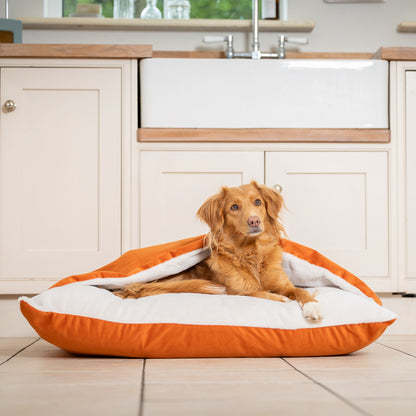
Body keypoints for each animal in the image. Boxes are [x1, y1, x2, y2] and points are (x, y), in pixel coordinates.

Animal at [114, 180, 324, 324]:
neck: (251, 252)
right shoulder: (236, 293)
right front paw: (280, 298)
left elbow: (300, 291)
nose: (254, 221)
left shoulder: (284, 284)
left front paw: (313, 307)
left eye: (258, 202)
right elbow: (259, 294)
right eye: (234, 207)